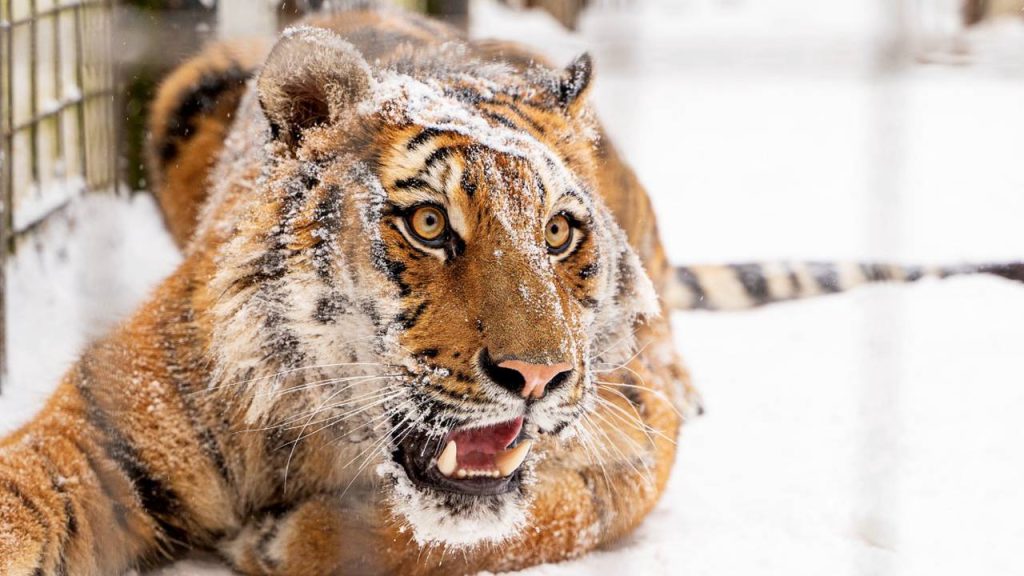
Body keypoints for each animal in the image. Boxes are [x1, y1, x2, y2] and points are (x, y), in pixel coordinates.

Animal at [2, 5, 1024, 573]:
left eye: (559, 233)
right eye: (428, 225)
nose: (535, 377)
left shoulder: (629, 440)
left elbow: (504, 523)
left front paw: (285, 542)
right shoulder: (102, 430)